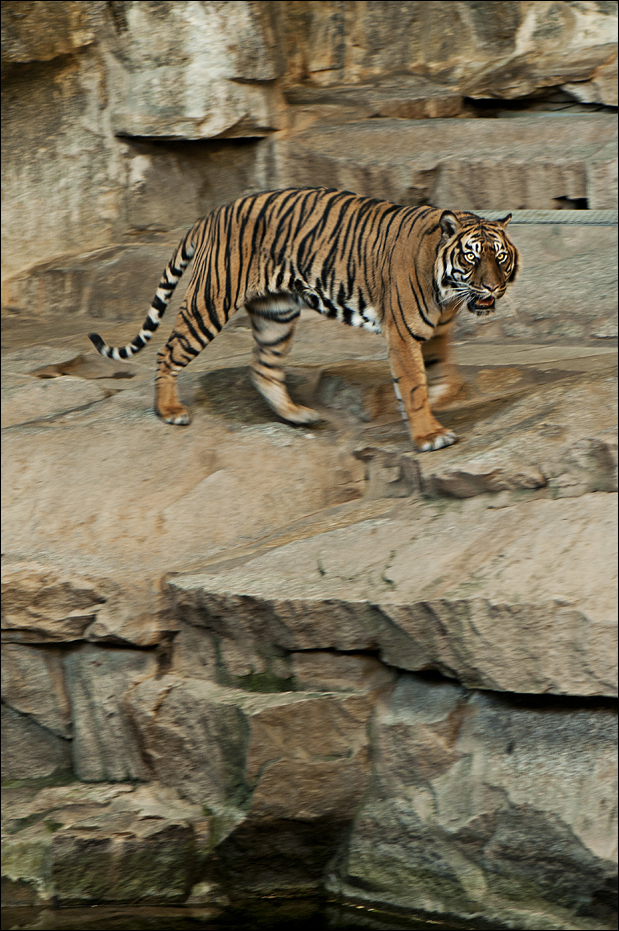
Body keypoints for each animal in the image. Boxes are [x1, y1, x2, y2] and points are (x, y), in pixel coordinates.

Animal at [89, 187, 519, 451]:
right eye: (471, 257)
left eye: (499, 256)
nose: (492, 288)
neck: (448, 294)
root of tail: (212, 214)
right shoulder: (402, 333)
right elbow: (413, 385)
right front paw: (429, 434)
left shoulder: (435, 330)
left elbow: (446, 375)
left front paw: (438, 399)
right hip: (211, 300)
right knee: (168, 353)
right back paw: (169, 411)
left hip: (275, 313)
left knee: (262, 367)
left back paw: (298, 415)